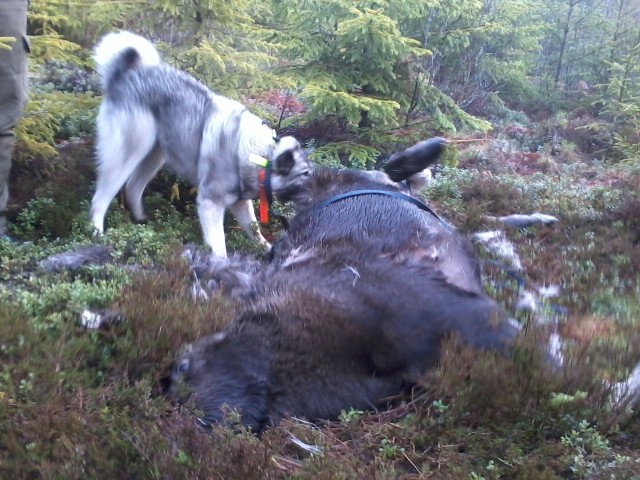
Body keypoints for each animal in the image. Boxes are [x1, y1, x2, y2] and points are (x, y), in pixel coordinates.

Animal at [89, 31, 310, 256]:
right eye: (305, 175)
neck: (260, 153)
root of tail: (125, 73)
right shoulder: (210, 204)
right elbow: (219, 246)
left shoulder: (240, 203)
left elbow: (254, 230)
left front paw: (268, 250)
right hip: (130, 151)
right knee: (101, 198)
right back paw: (97, 234)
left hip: (155, 154)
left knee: (133, 187)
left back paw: (142, 221)